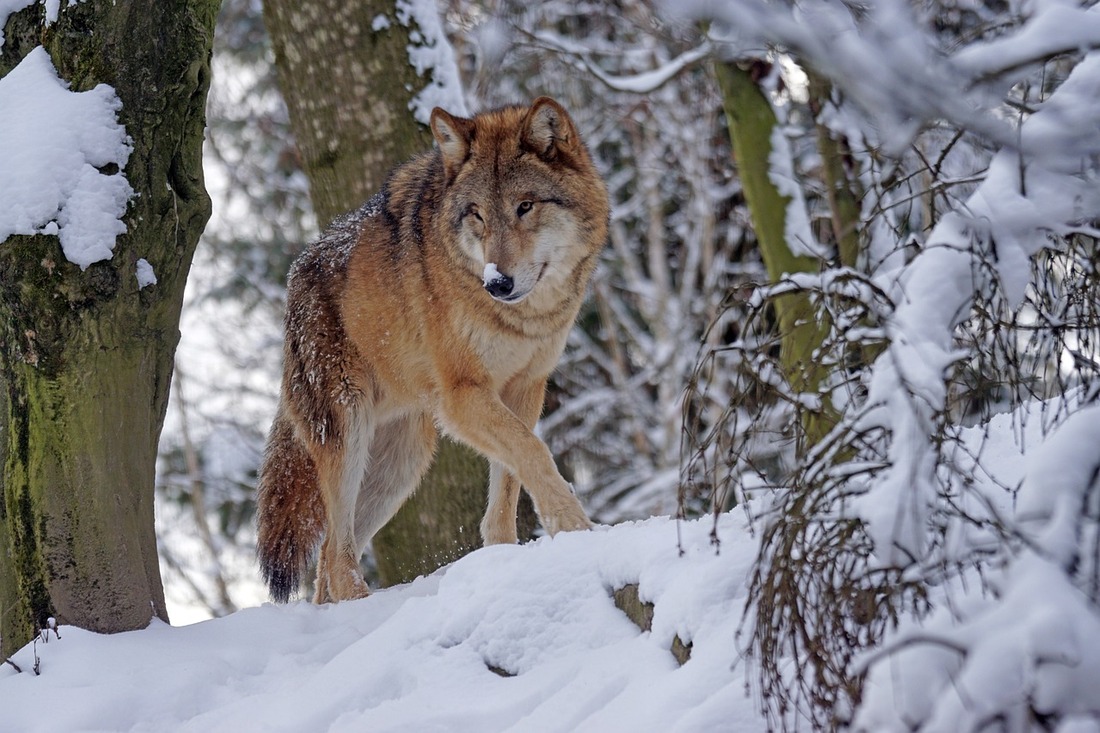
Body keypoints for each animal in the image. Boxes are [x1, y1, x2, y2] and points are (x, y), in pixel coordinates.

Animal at [256, 97, 610, 603]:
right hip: (349, 434)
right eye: (477, 214)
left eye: (525, 206)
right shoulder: (463, 396)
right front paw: (576, 529)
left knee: (327, 560)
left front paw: (506, 558)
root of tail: (295, 275)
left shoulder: (525, 388)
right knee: (336, 556)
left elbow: (510, 481)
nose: (497, 283)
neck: (523, 319)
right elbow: (535, 453)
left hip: (402, 464)